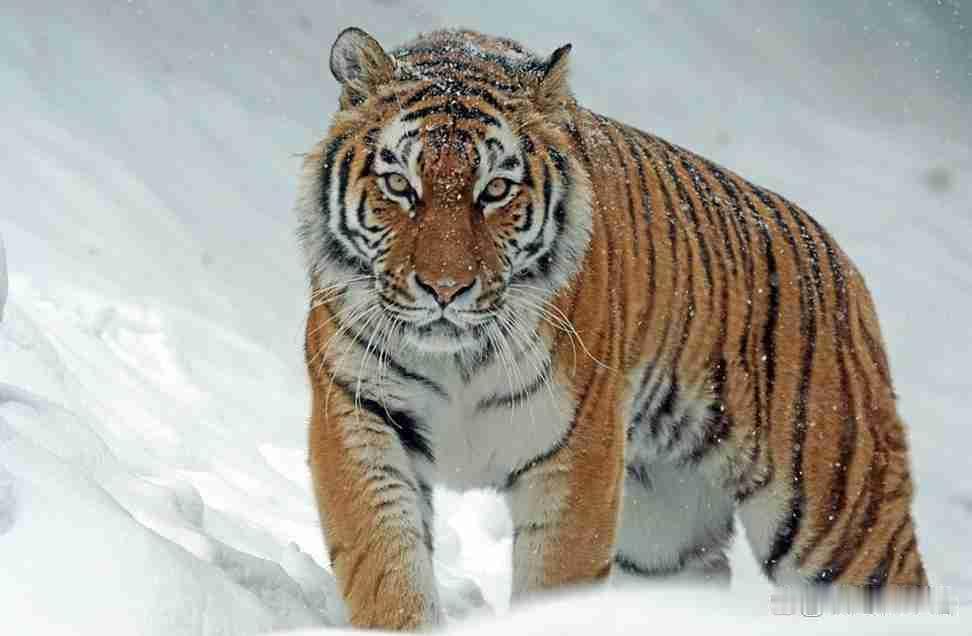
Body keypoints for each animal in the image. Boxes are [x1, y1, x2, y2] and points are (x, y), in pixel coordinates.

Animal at [296, 26, 927, 630]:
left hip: (840, 519)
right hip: (664, 533)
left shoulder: (577, 450)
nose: (445, 289)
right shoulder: (359, 414)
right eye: (400, 185)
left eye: (495, 190)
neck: (458, 360)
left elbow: (556, 582)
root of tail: (843, 265)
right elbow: (385, 566)